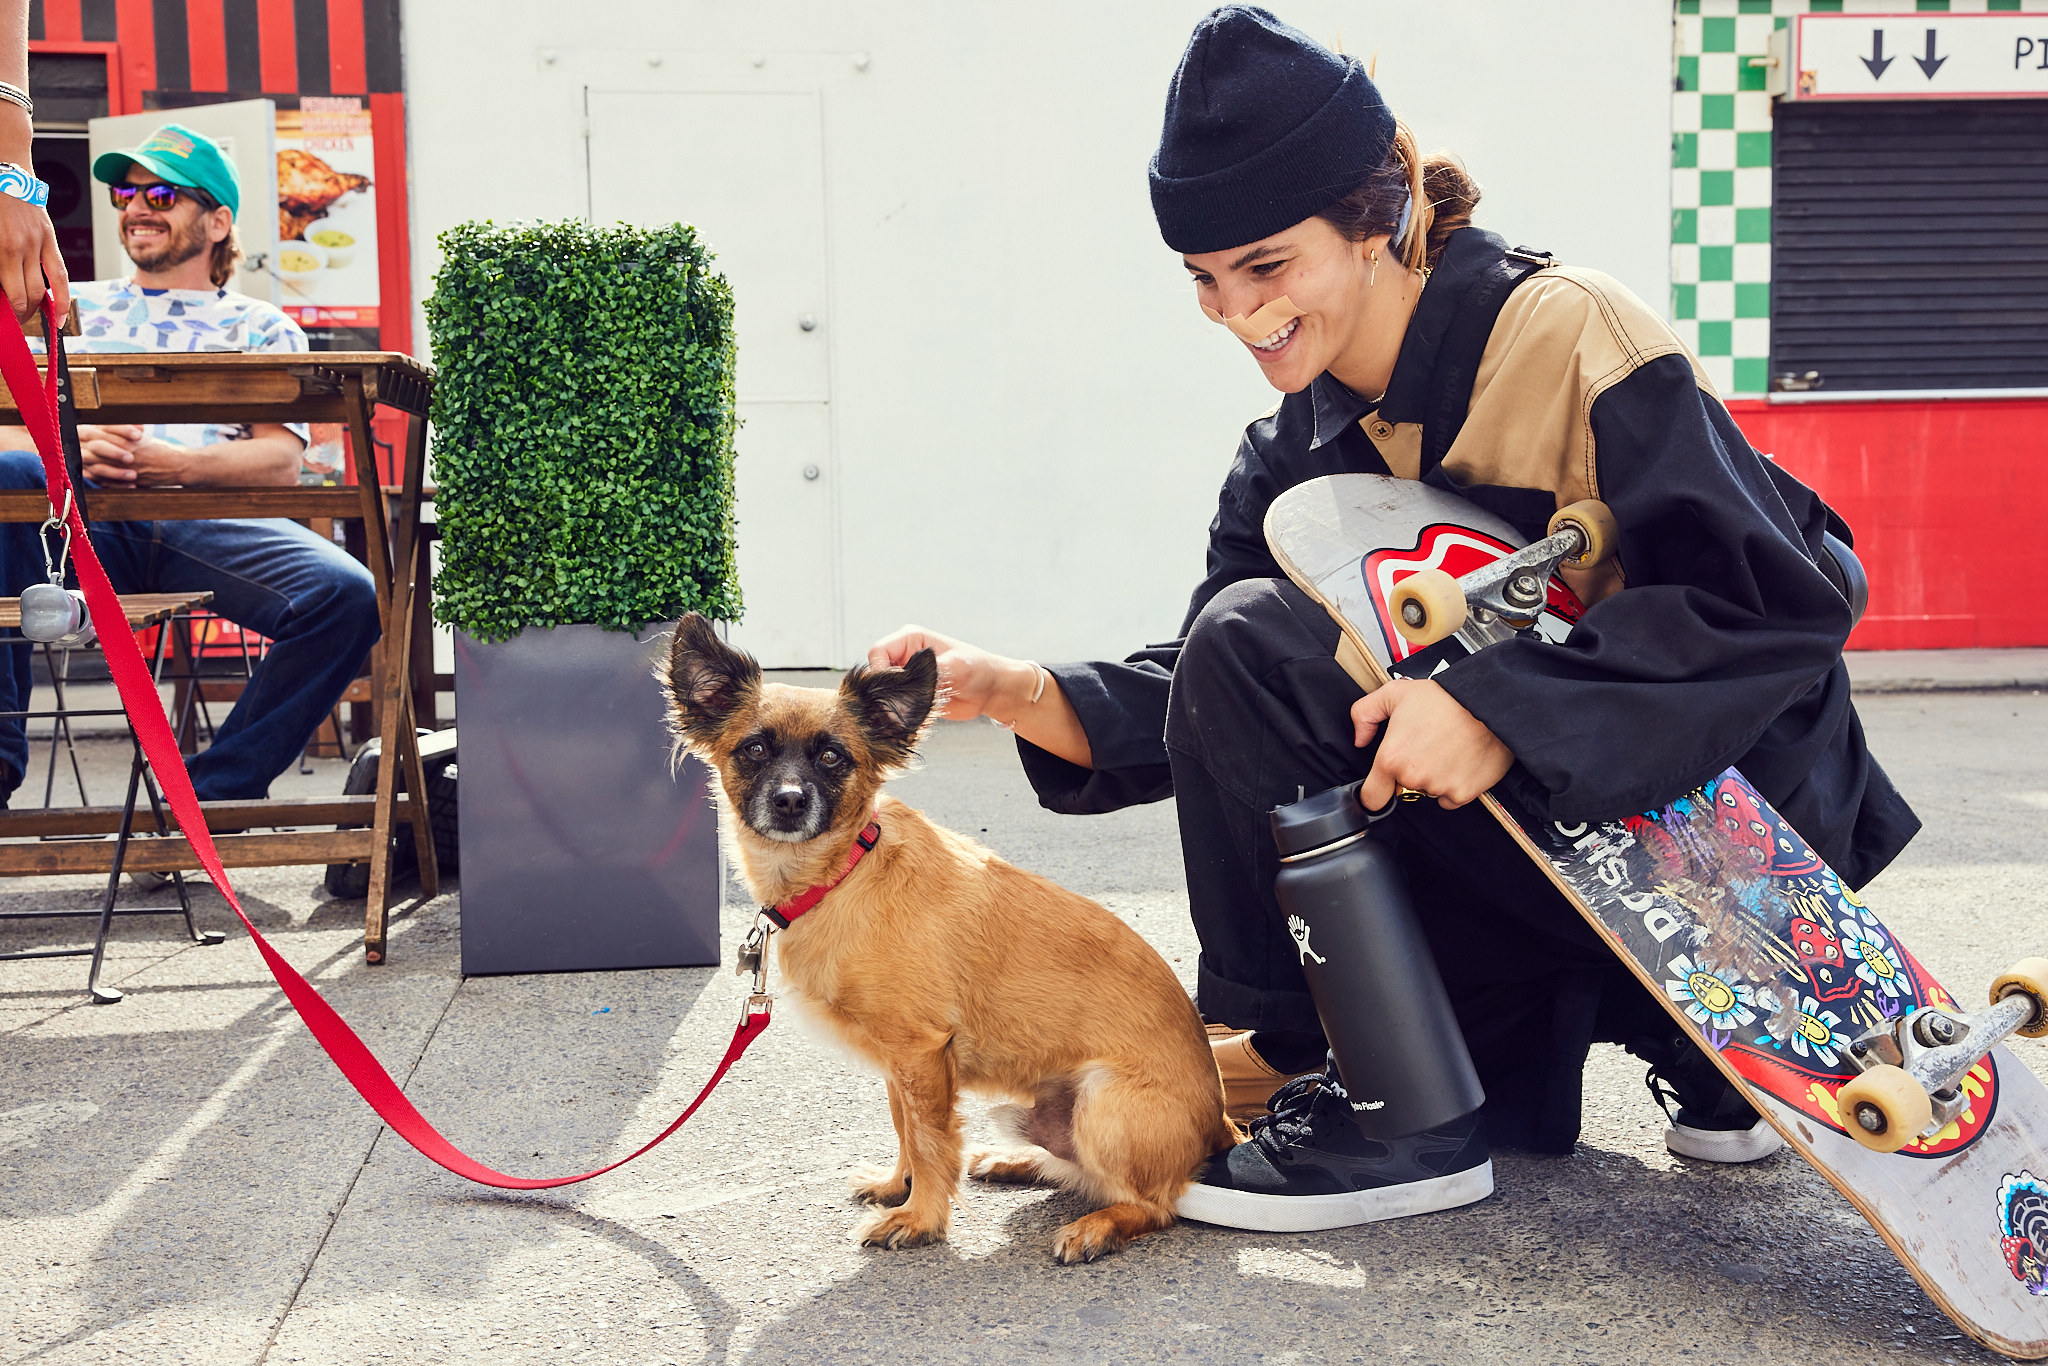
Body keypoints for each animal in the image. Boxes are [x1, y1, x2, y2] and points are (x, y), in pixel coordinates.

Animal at [663, 614, 1228, 1269]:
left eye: (832, 757)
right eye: (753, 749)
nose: (789, 801)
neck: (840, 873)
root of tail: (1220, 1125)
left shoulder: (921, 1053)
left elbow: (931, 1140)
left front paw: (920, 1218)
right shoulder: (900, 1061)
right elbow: (904, 1128)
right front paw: (897, 1186)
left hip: (1101, 1102)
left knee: (1154, 1204)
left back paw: (1098, 1226)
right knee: (1077, 1170)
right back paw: (1014, 1161)